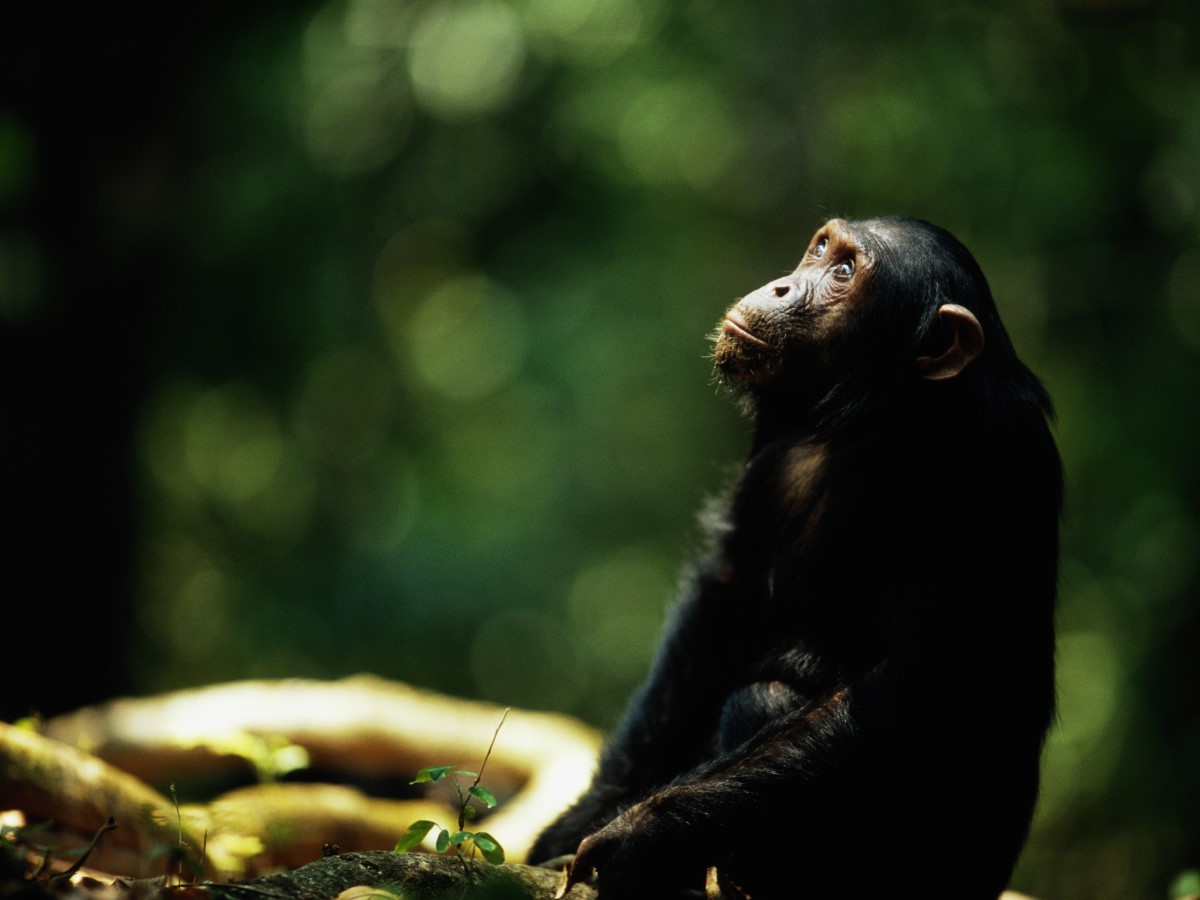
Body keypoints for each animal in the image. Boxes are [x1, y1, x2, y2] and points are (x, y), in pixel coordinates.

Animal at [530, 214, 1065, 897]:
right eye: (821, 249)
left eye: (845, 272)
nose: (785, 285)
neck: (877, 414)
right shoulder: (772, 447)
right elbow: (726, 595)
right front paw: (585, 819)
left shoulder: (990, 458)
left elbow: (911, 680)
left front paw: (644, 832)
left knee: (766, 697)